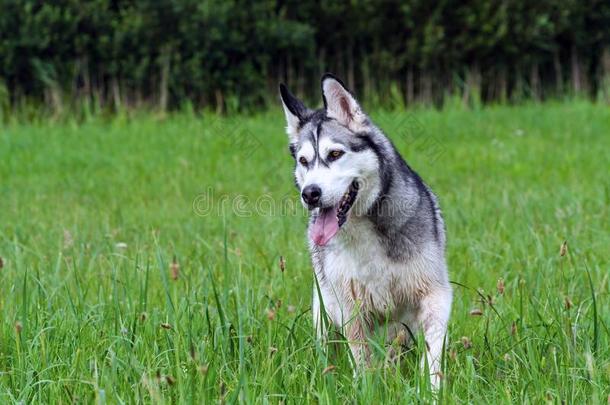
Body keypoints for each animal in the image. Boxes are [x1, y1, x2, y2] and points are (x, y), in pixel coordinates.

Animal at [278, 74, 448, 386]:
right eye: (304, 161)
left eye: (335, 153)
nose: (310, 194)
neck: (365, 226)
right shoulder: (351, 309)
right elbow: (362, 358)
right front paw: (367, 388)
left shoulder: (435, 293)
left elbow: (433, 351)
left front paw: (430, 388)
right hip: (325, 307)